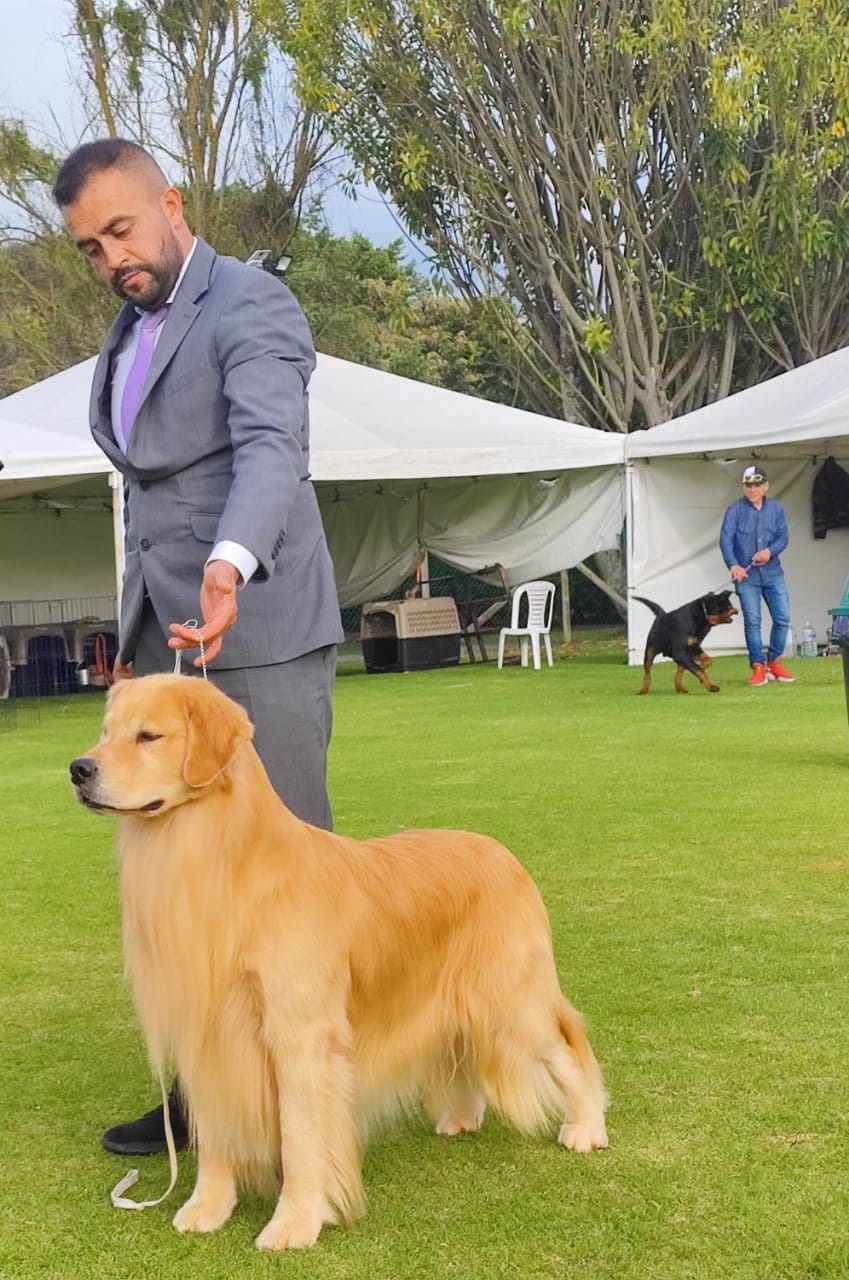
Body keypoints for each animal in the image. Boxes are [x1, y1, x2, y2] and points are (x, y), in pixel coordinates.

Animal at [69, 680, 606, 1249]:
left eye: (148, 736)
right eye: (105, 731)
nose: (79, 769)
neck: (220, 861)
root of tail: (502, 852)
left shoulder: (300, 1036)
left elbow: (301, 1141)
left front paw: (294, 1222)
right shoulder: (208, 1037)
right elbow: (216, 1134)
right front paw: (207, 1207)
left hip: (511, 999)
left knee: (569, 1049)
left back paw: (587, 1127)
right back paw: (462, 1117)